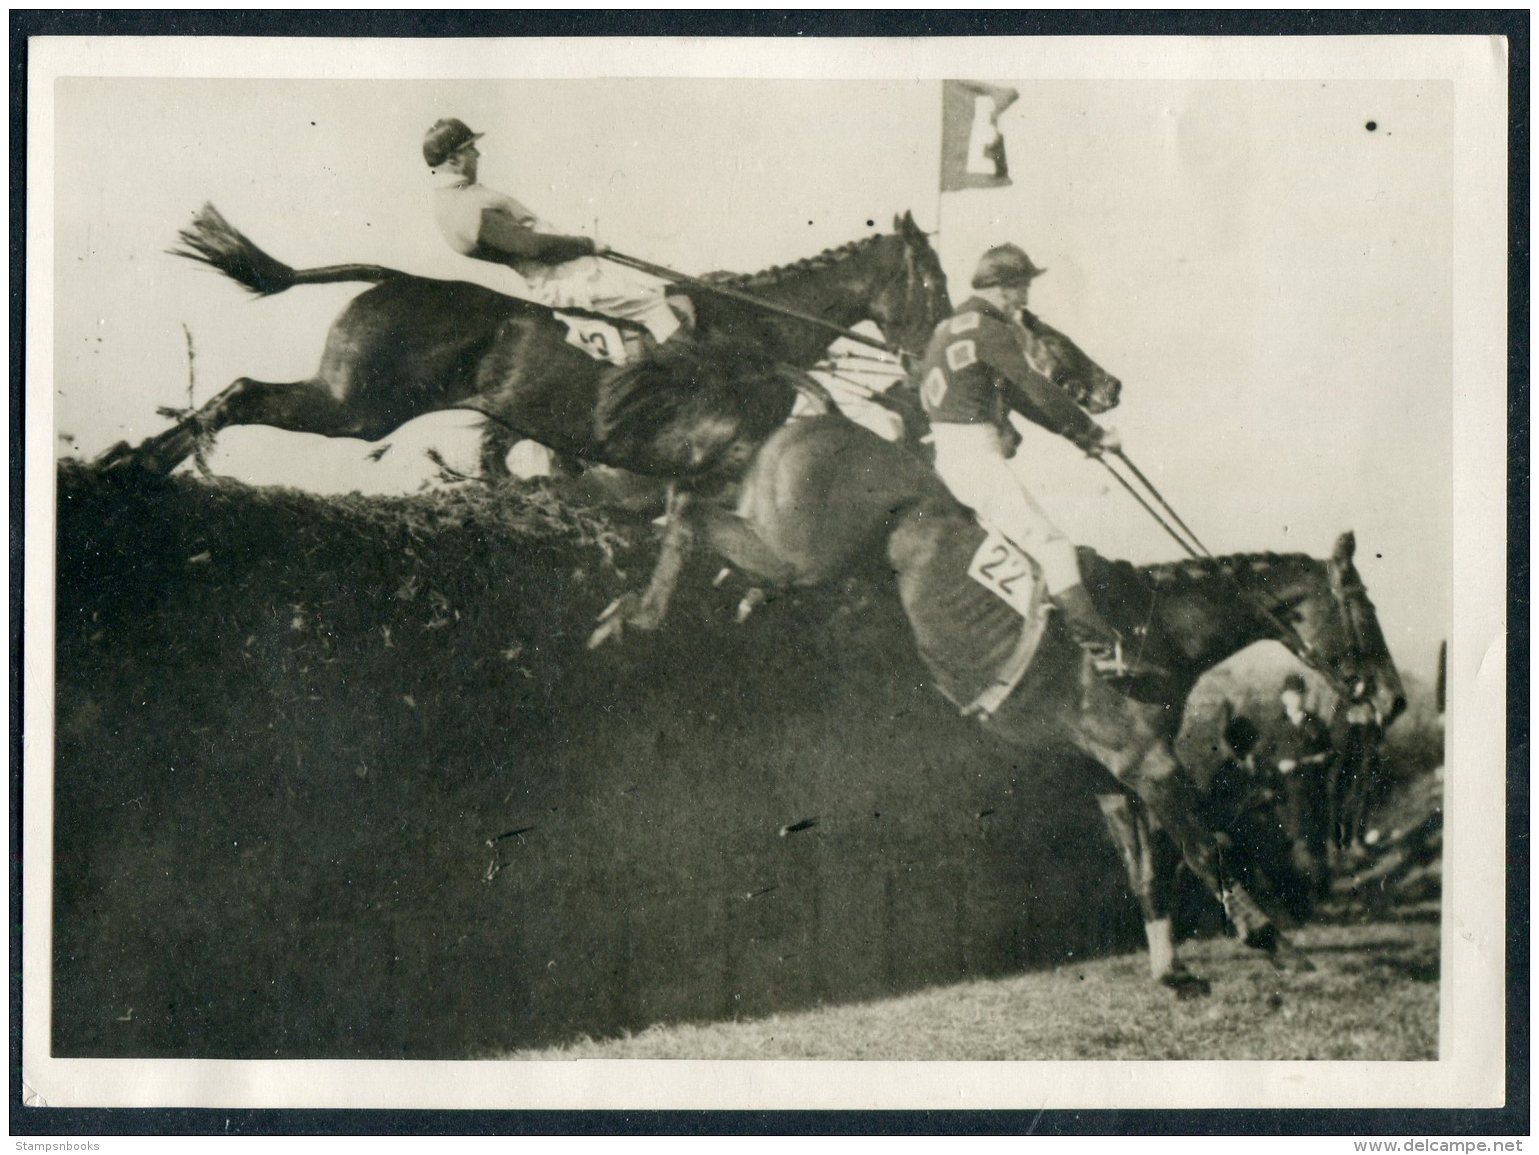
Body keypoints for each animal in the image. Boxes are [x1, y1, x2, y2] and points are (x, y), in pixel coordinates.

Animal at [93, 207, 948, 483]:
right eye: (935, 283)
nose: (927, 363)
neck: (753, 330)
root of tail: (397, 278)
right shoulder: (716, 445)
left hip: (353, 401)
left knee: (235, 392)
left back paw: (130, 459)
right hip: (357, 404)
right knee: (243, 392)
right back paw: (140, 462)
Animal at [587, 415, 1409, 997]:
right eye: (1366, 612)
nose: (1396, 698)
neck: (1155, 625)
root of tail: (795, 424)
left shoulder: (1113, 777)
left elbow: (1149, 872)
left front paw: (1173, 970)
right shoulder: (1150, 764)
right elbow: (1208, 847)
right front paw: (1272, 941)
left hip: (789, 552)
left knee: (697, 517)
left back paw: (672, 605)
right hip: (805, 554)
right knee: (686, 508)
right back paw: (635, 615)